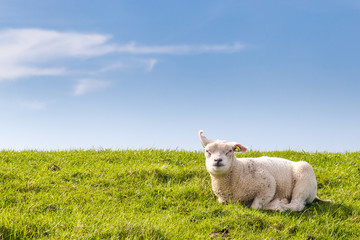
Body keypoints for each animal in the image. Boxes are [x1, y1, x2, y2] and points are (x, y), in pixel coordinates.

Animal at [200, 130, 330, 211]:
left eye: (230, 151)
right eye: (207, 151)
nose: (218, 160)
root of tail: (314, 194)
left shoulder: (268, 184)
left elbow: (256, 206)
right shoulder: (223, 200)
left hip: (304, 178)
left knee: (296, 205)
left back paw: (278, 205)